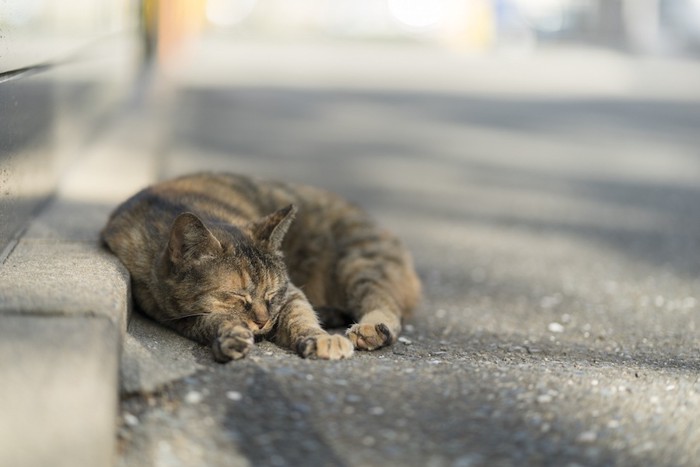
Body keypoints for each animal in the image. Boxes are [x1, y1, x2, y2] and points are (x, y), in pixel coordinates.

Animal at [102, 174, 422, 364]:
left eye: (271, 294)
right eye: (237, 296)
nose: (263, 321)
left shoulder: (291, 294)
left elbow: (301, 316)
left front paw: (319, 338)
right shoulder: (177, 316)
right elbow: (215, 320)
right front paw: (231, 335)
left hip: (359, 263)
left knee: (387, 305)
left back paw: (370, 329)